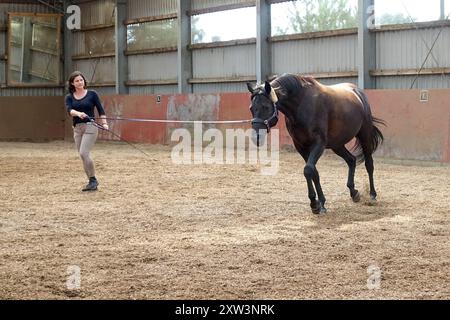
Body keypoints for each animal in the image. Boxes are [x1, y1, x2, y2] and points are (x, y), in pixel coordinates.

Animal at [248, 74, 384, 215]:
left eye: (265, 106)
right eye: (251, 108)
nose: (256, 137)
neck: (301, 104)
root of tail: (357, 92)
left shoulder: (318, 144)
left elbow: (308, 170)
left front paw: (314, 203)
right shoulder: (301, 147)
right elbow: (314, 172)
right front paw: (321, 203)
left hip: (364, 136)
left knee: (369, 164)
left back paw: (372, 194)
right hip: (337, 144)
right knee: (351, 160)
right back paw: (354, 192)